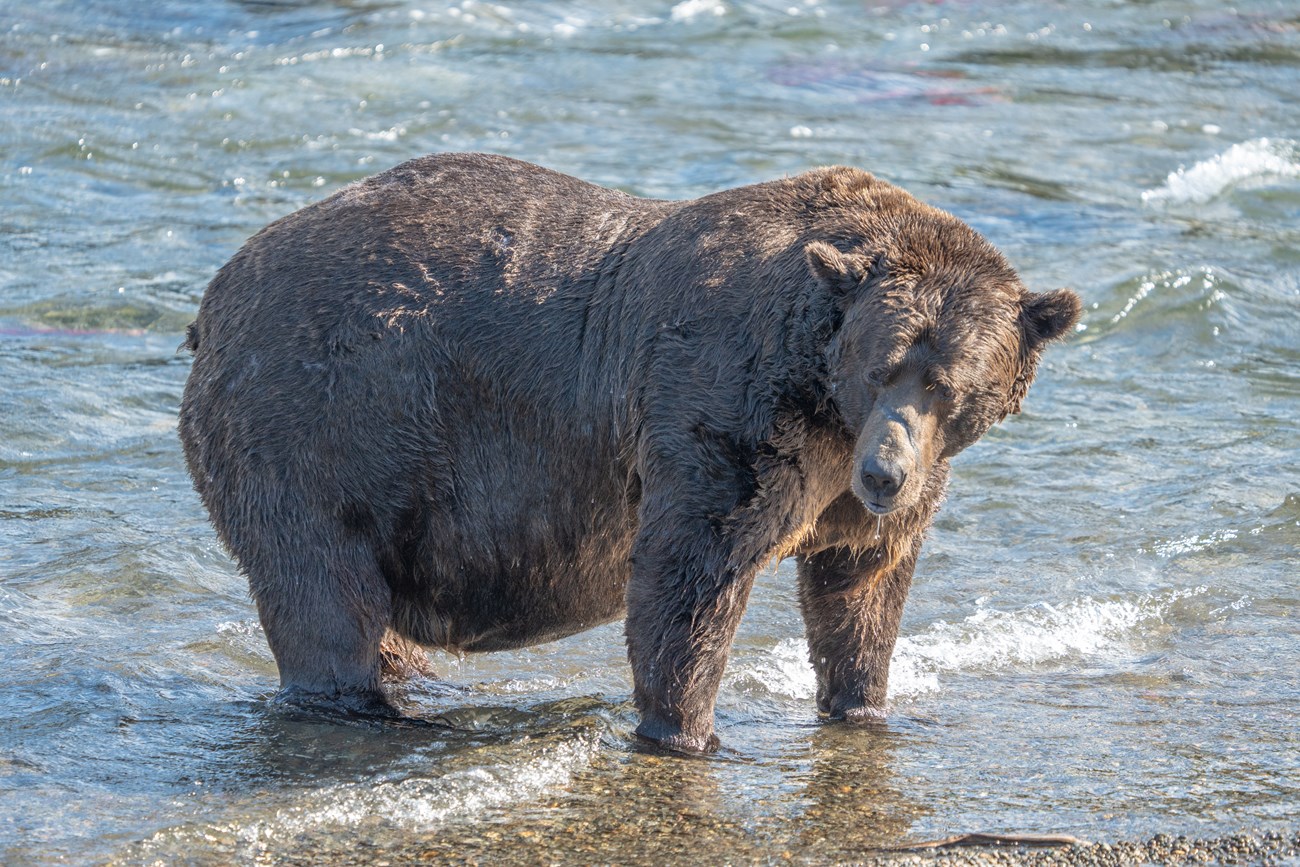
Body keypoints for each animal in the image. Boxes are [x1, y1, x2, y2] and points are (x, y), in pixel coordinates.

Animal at [178, 154, 1081, 753]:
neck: (823, 395)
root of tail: (213, 297)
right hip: (321, 421)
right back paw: (365, 705)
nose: (885, 473)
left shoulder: (854, 484)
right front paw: (686, 730)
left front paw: (862, 704)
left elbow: (861, 586)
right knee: (324, 591)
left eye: (948, 384)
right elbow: (691, 574)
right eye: (881, 365)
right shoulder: (724, 406)